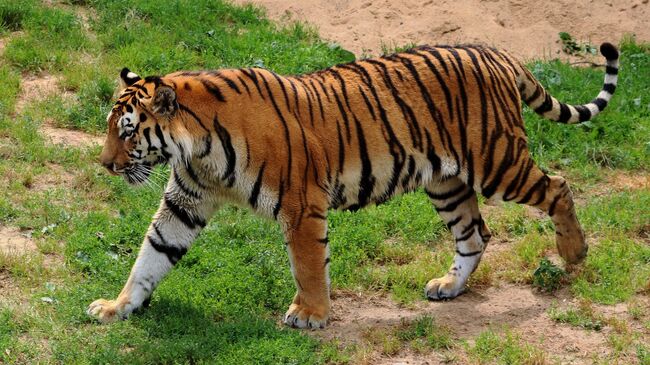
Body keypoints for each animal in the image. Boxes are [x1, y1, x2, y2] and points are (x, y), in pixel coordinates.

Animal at [87, 42, 616, 328]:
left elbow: (307, 266)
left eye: (128, 131)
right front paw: (117, 307)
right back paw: (448, 286)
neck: (197, 149)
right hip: (446, 182)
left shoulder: (301, 206)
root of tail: (495, 52)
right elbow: (150, 257)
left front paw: (311, 315)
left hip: (496, 162)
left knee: (558, 186)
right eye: (112, 128)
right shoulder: (186, 202)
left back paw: (574, 252)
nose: (105, 164)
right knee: (475, 235)